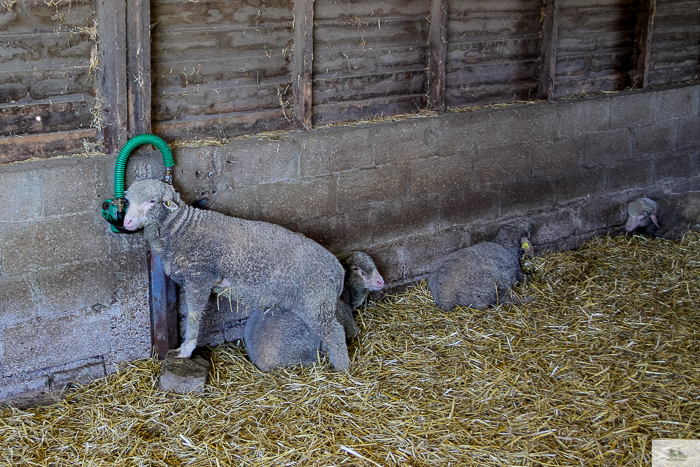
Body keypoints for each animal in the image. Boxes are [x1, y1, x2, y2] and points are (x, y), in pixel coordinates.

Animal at [122, 181, 350, 372]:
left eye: (152, 201)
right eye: (128, 200)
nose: (127, 222)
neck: (181, 228)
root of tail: (339, 270)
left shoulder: (199, 277)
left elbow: (194, 315)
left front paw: (186, 350)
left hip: (317, 303)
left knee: (336, 333)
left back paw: (342, 368)